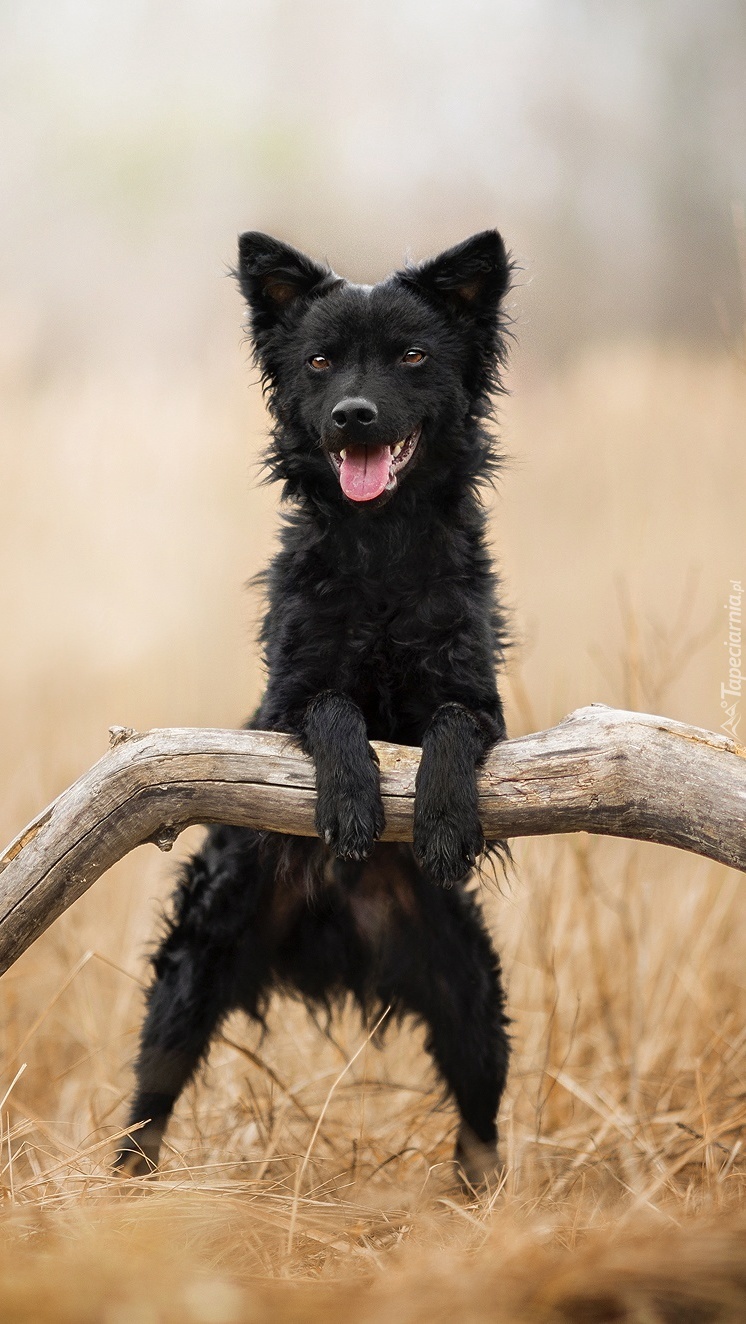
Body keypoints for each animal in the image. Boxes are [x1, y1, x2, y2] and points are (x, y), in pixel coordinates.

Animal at [117, 227, 514, 1191]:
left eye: (412, 357)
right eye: (321, 363)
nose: (352, 416)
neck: (380, 551)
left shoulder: (482, 700)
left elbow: (449, 728)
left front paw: (440, 821)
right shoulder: (283, 703)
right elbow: (334, 710)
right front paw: (352, 806)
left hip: (473, 1002)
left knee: (480, 1127)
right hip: (186, 985)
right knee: (146, 1109)